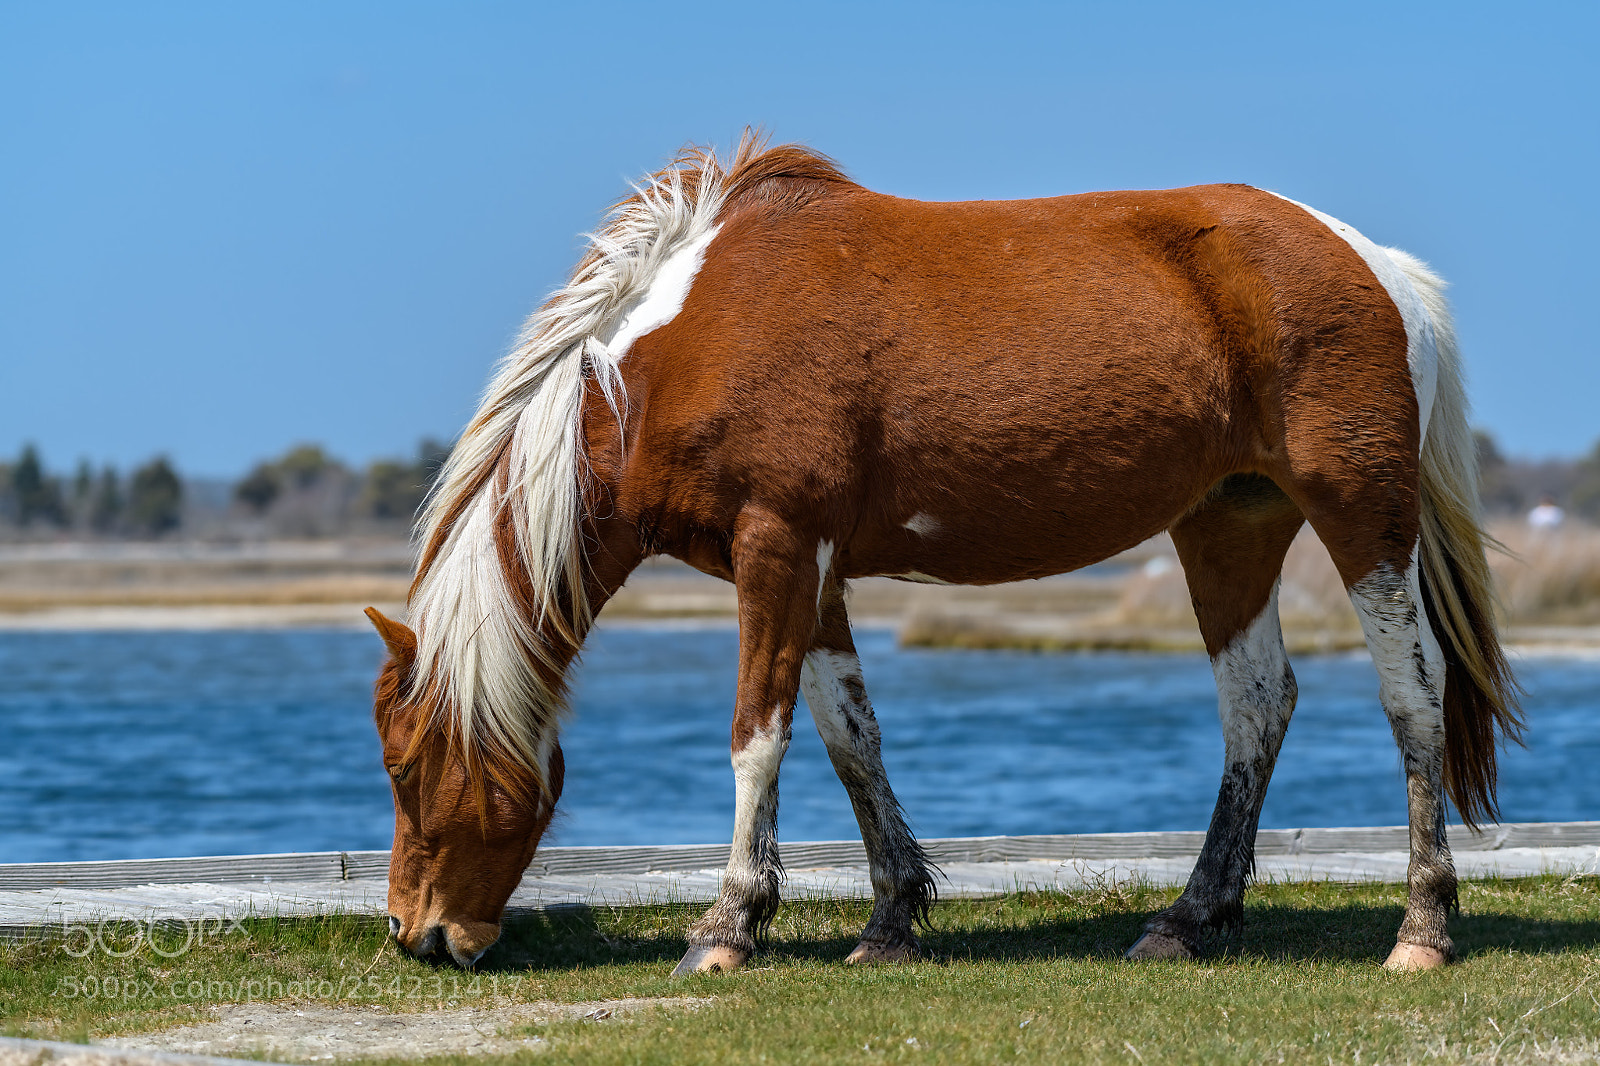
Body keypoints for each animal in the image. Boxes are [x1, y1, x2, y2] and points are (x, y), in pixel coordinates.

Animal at [365, 135, 1521, 975]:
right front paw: (888, 920)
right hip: (1226, 528)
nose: (420, 935)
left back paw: (1421, 927)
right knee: (1258, 702)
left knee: (1410, 695)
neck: (683, 347)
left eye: (408, 766)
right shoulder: (813, 569)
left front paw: (728, 926)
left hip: (1362, 518)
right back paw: (1190, 917)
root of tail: (1376, 265)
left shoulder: (776, 545)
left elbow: (757, 737)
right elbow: (849, 736)